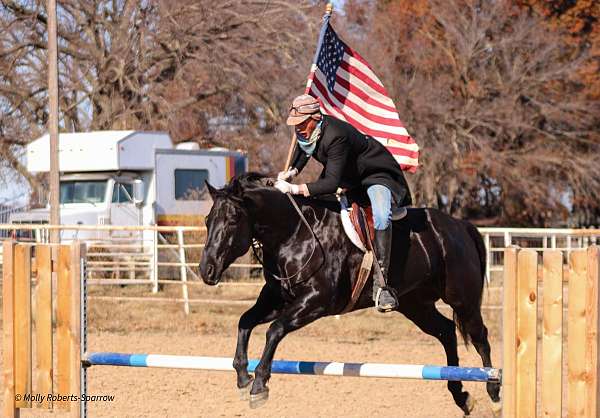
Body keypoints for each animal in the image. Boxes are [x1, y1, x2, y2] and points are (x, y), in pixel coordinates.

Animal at [199, 173, 500, 414]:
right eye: (207, 220)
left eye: (233, 219)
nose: (206, 270)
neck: (295, 232)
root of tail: (460, 226)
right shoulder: (277, 299)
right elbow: (245, 322)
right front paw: (242, 378)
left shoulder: (316, 301)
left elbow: (274, 330)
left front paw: (259, 384)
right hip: (416, 305)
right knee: (446, 331)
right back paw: (461, 396)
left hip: (462, 300)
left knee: (480, 338)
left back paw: (494, 391)